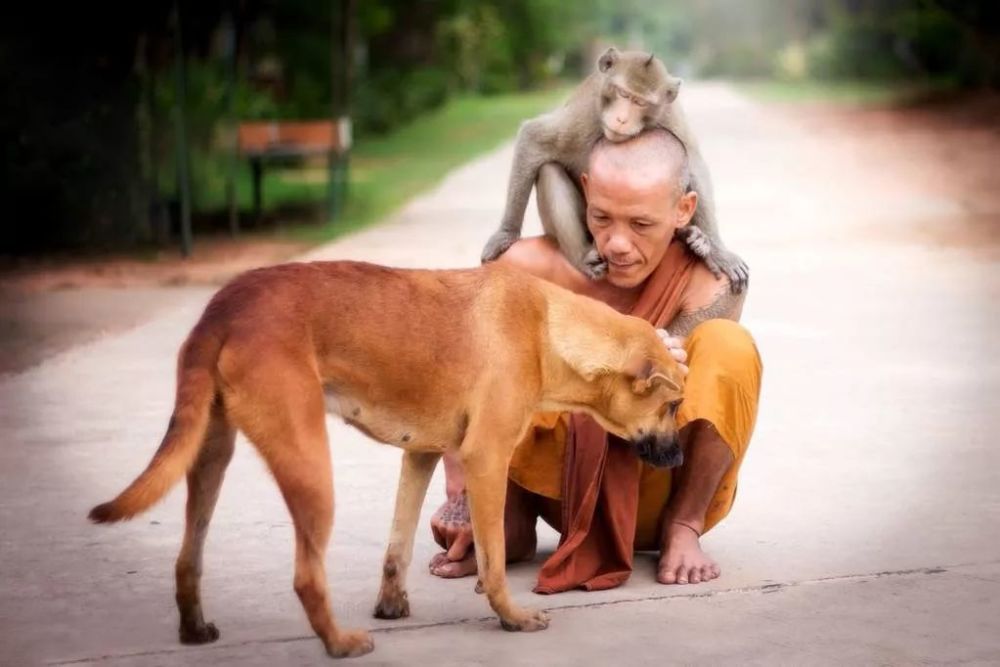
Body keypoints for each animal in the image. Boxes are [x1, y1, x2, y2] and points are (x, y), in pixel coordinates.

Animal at [88, 260, 688, 656]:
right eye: (673, 405)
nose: (681, 457)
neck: (549, 329)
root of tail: (223, 306)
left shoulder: (420, 455)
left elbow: (397, 544)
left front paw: (392, 604)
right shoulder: (485, 460)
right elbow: (493, 559)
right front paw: (511, 618)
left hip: (210, 455)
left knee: (187, 558)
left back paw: (195, 630)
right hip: (310, 466)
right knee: (306, 577)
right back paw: (340, 643)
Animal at [480, 47, 748, 292]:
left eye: (640, 102)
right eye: (622, 93)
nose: (621, 119)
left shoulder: (669, 115)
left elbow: (693, 165)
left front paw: (719, 252)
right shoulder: (582, 118)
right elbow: (533, 138)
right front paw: (506, 234)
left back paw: (694, 239)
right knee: (549, 172)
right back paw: (581, 257)